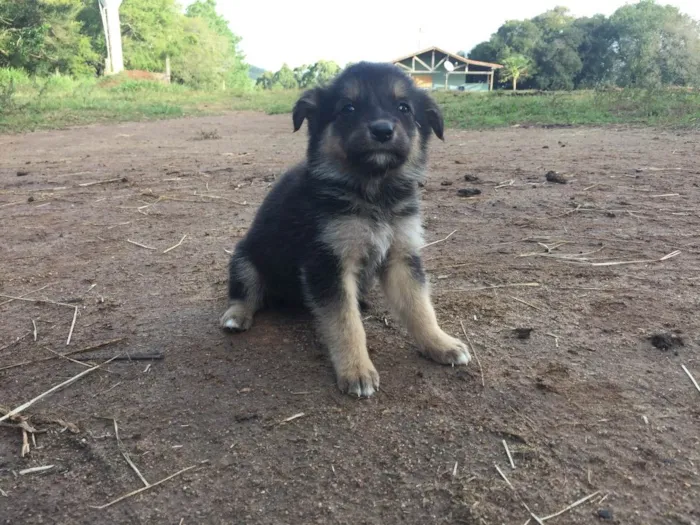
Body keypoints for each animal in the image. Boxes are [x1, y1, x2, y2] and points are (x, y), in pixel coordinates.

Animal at [220, 61, 470, 398]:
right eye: (348, 108)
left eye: (404, 108)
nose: (382, 130)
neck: (372, 192)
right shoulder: (328, 263)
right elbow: (345, 324)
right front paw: (357, 371)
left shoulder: (402, 256)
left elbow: (420, 307)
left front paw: (439, 343)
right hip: (244, 258)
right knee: (245, 292)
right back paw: (237, 316)